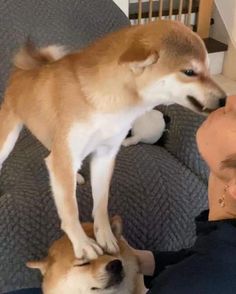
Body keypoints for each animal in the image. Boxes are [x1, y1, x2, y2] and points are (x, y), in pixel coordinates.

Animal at [0, 21, 225, 264]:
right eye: (190, 72)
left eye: (209, 69)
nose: (225, 100)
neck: (109, 103)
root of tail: (21, 69)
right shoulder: (67, 153)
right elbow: (70, 210)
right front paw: (82, 244)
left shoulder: (104, 155)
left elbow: (101, 204)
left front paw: (106, 235)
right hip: (9, 137)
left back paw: (75, 176)